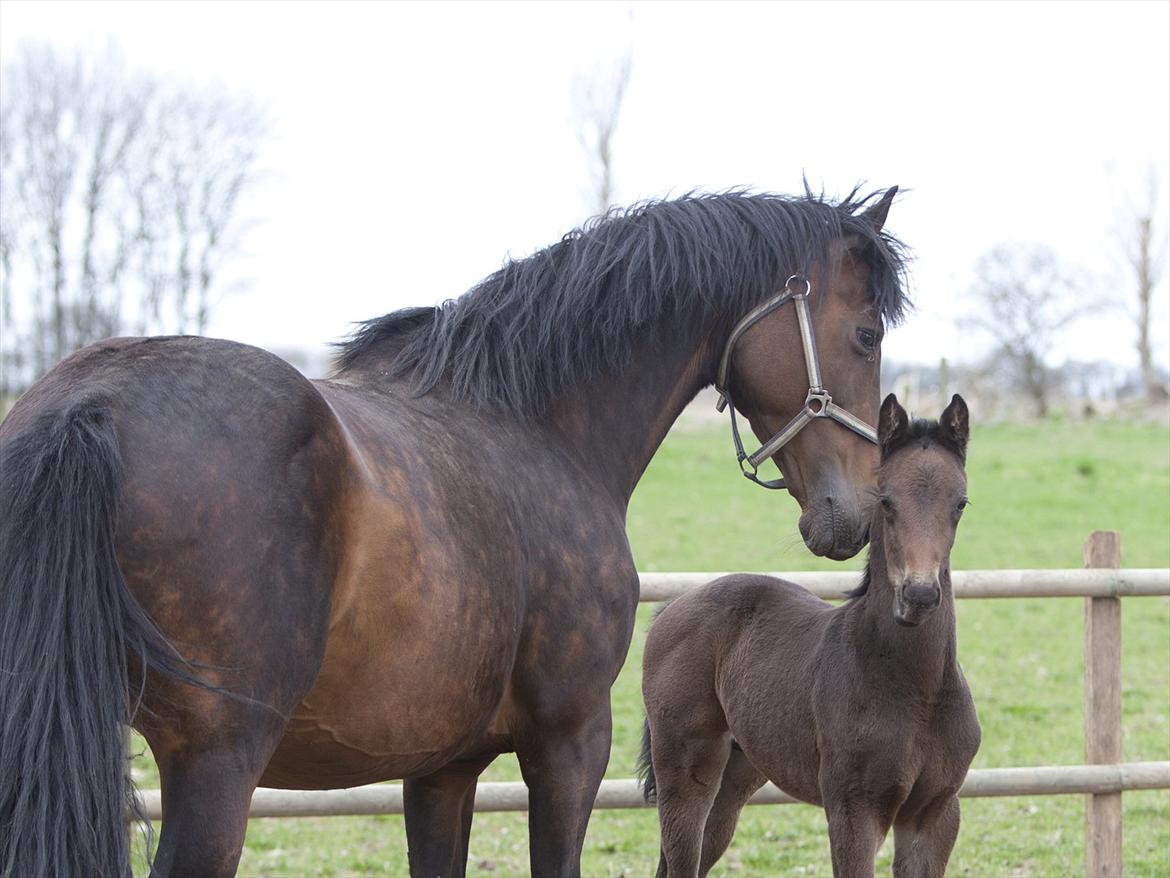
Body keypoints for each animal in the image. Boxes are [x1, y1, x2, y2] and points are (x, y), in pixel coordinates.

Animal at [0, 189, 907, 875]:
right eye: (866, 335)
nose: (858, 511)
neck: (537, 424)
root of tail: (89, 402)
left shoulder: (440, 769)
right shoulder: (570, 743)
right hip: (217, 769)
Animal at [636, 393, 982, 878]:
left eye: (961, 503)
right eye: (886, 501)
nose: (919, 595)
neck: (919, 688)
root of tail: (673, 607)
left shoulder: (936, 814)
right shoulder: (853, 812)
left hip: (737, 775)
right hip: (685, 774)